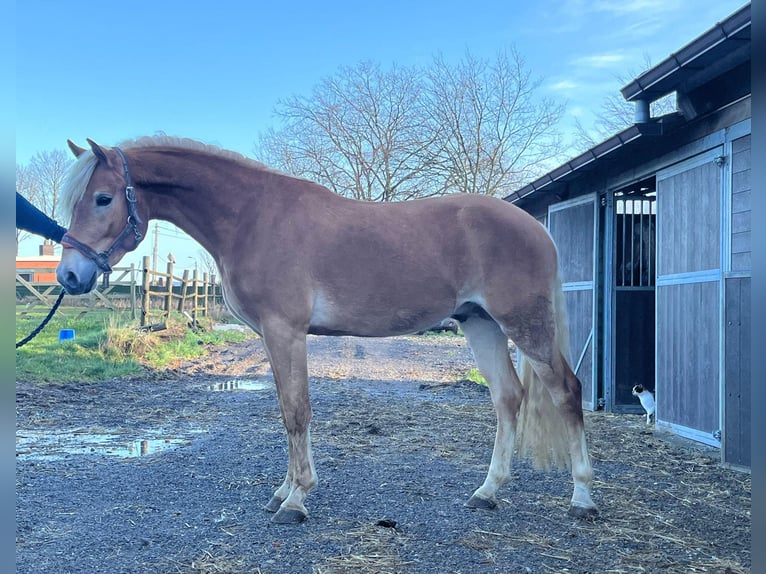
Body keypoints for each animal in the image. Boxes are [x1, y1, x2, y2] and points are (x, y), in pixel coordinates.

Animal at [58, 136, 600, 528]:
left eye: (103, 198)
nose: (69, 276)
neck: (253, 217)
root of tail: (535, 227)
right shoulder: (272, 336)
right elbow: (285, 410)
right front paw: (283, 490)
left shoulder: (286, 330)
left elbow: (296, 411)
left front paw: (296, 500)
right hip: (481, 324)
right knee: (508, 398)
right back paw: (487, 492)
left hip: (524, 325)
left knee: (566, 391)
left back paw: (582, 497)